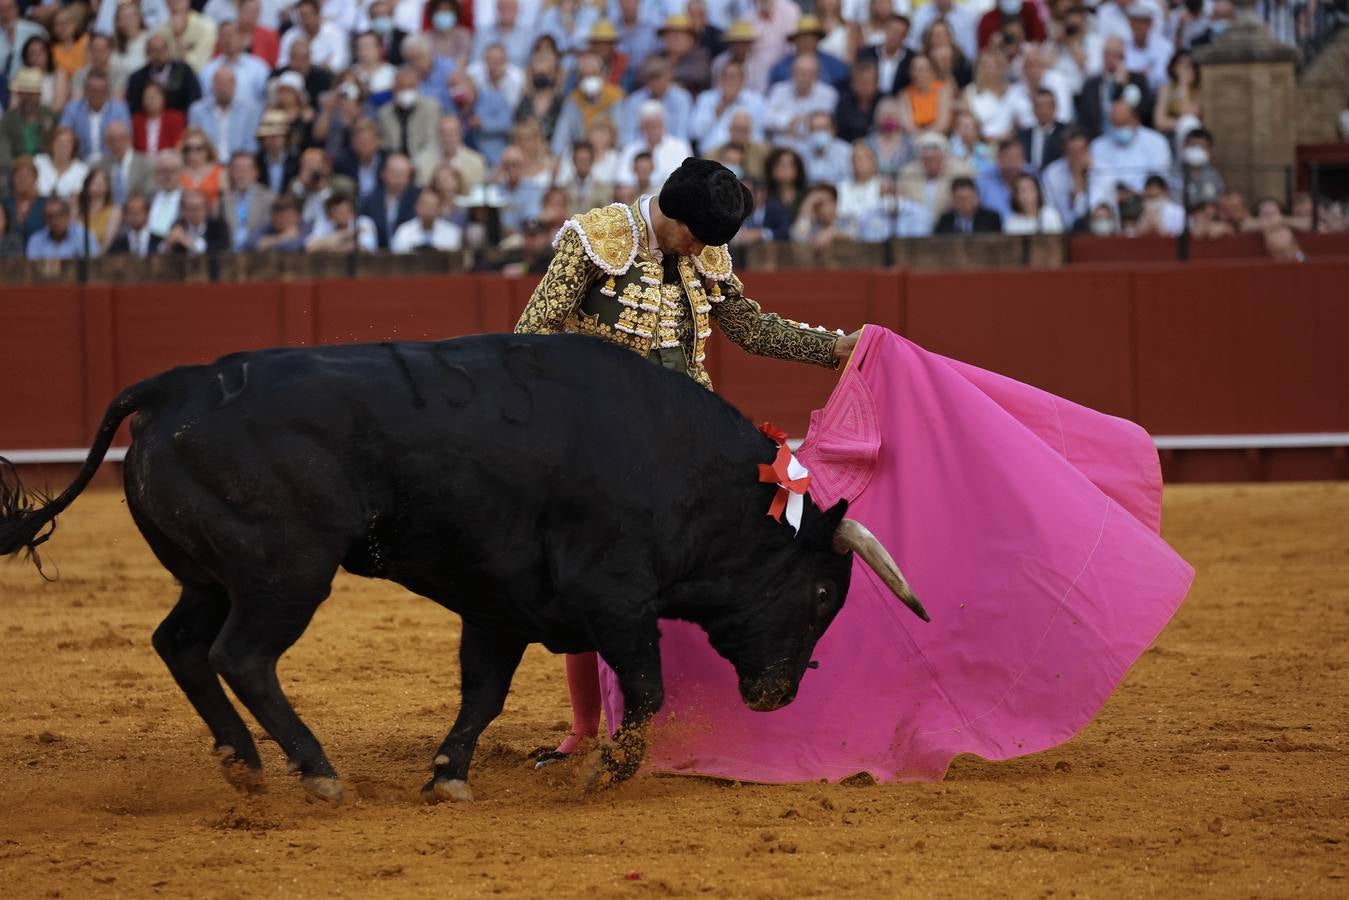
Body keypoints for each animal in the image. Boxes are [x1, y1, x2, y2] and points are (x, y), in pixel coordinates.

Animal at [0, 330, 928, 804]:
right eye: (821, 590)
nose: (780, 693)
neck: (686, 471)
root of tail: (175, 386)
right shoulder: (615, 595)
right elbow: (647, 686)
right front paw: (605, 772)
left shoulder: (500, 604)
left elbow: (482, 691)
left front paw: (448, 774)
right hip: (285, 570)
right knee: (243, 656)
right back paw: (317, 771)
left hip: (207, 574)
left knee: (181, 645)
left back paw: (245, 764)